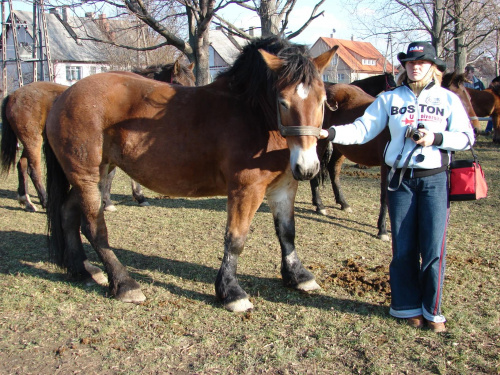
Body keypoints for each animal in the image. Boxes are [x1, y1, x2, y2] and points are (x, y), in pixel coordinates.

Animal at [0, 58, 195, 212]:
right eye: (177, 83)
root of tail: (13, 94)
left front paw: (139, 197)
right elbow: (111, 175)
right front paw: (107, 202)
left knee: (22, 164)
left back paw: (25, 200)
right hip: (33, 140)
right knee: (34, 168)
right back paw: (44, 201)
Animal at [45, 37, 338, 314]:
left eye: (322, 101)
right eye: (282, 101)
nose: (307, 167)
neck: (253, 113)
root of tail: (64, 95)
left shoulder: (284, 187)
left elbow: (287, 232)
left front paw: (298, 276)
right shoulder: (246, 189)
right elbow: (236, 239)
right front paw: (230, 292)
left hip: (92, 175)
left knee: (67, 213)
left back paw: (82, 269)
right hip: (86, 177)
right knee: (94, 228)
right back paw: (124, 284)